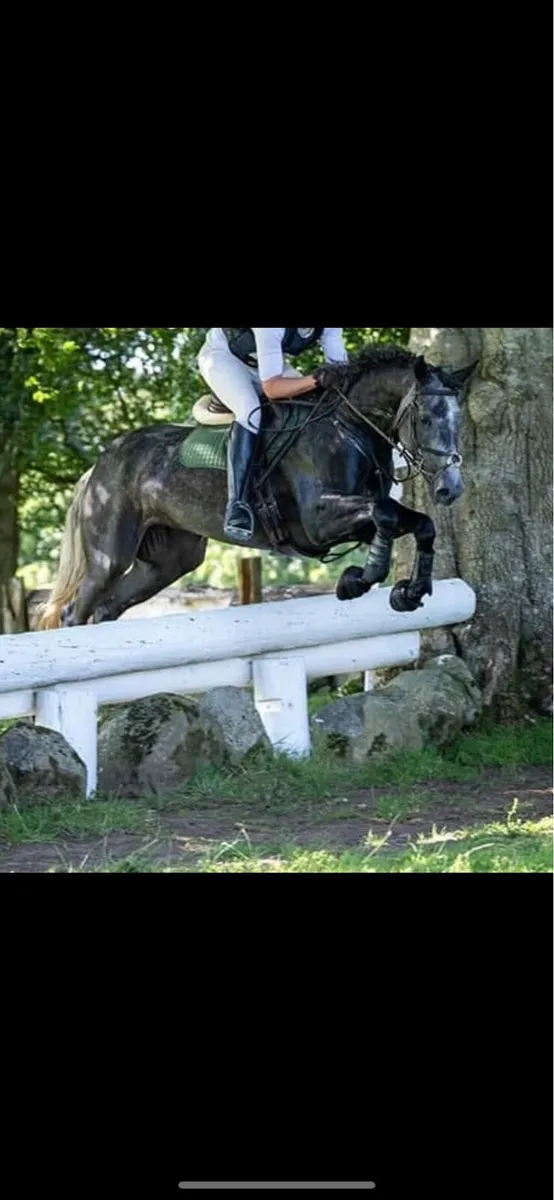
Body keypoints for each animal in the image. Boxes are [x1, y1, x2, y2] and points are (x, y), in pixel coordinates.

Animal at [36, 344, 477, 631]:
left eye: (459, 419)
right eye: (426, 418)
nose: (450, 490)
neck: (349, 427)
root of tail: (99, 465)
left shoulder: (356, 516)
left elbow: (415, 523)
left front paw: (408, 592)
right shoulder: (319, 520)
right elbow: (386, 514)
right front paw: (358, 580)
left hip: (167, 562)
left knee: (108, 609)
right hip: (108, 556)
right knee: (76, 611)